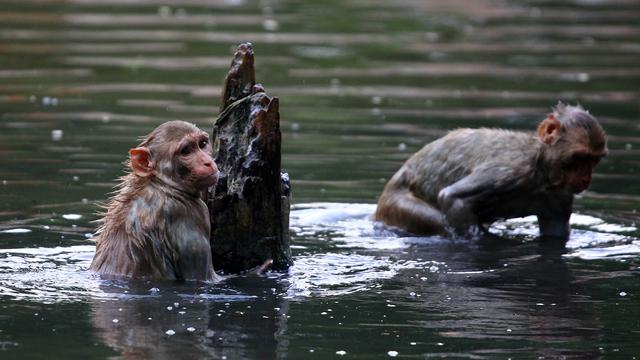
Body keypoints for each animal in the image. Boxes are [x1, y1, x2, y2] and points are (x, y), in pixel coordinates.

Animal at [372, 102, 608, 240]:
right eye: (579, 158)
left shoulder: (561, 194)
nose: (585, 179)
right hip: (397, 205)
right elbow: (452, 197)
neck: (541, 170)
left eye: (594, 160)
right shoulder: (507, 171)